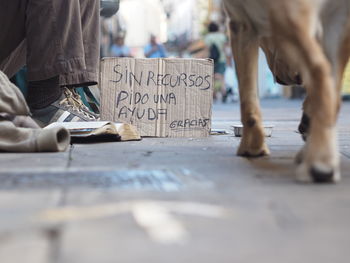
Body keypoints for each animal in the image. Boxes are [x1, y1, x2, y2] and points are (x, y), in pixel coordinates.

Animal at [223, 0, 350, 183]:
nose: (283, 81)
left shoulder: (240, 23)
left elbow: (248, 99)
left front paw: (251, 146)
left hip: (287, 15)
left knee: (319, 70)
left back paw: (319, 164)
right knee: (333, 93)